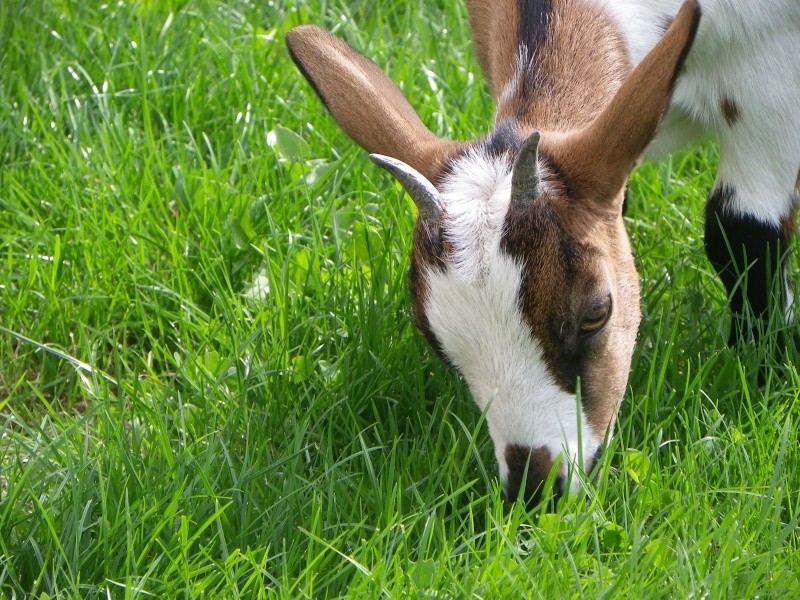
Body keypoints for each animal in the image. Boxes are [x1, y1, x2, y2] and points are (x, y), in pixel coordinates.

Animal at [286, 0, 800, 506]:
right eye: (437, 343)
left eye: (596, 313)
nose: (535, 487)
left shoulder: (768, 91)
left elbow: (740, 229)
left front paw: (765, 370)